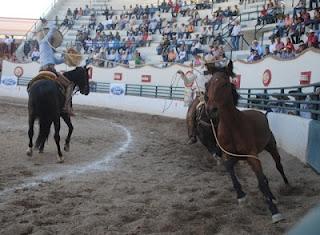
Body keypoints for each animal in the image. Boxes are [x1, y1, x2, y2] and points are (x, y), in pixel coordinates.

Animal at [205, 59, 290, 223]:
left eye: (224, 84)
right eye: (208, 84)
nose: (211, 110)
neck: (233, 126)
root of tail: (263, 114)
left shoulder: (252, 156)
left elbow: (261, 181)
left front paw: (274, 212)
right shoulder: (233, 156)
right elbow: (228, 167)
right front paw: (241, 195)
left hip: (271, 147)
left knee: (278, 166)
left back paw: (287, 187)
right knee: (263, 177)